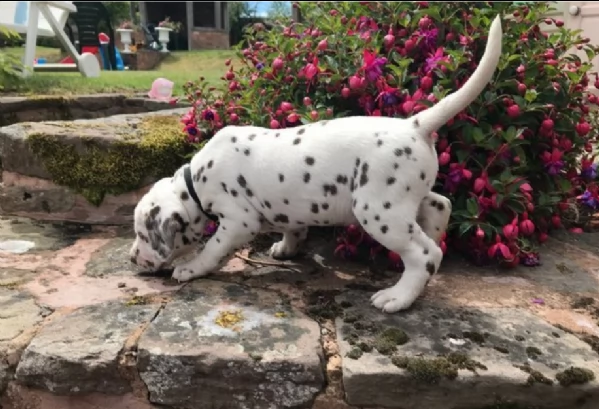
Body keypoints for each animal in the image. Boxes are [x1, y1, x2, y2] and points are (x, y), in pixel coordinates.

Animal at [129, 14, 504, 310]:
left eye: (143, 235)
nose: (131, 258)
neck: (194, 181)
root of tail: (415, 124)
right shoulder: (285, 211)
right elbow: (293, 228)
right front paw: (286, 248)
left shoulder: (237, 220)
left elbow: (212, 248)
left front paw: (191, 268)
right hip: (406, 198)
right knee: (439, 206)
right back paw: (432, 242)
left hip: (379, 211)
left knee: (425, 255)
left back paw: (398, 297)